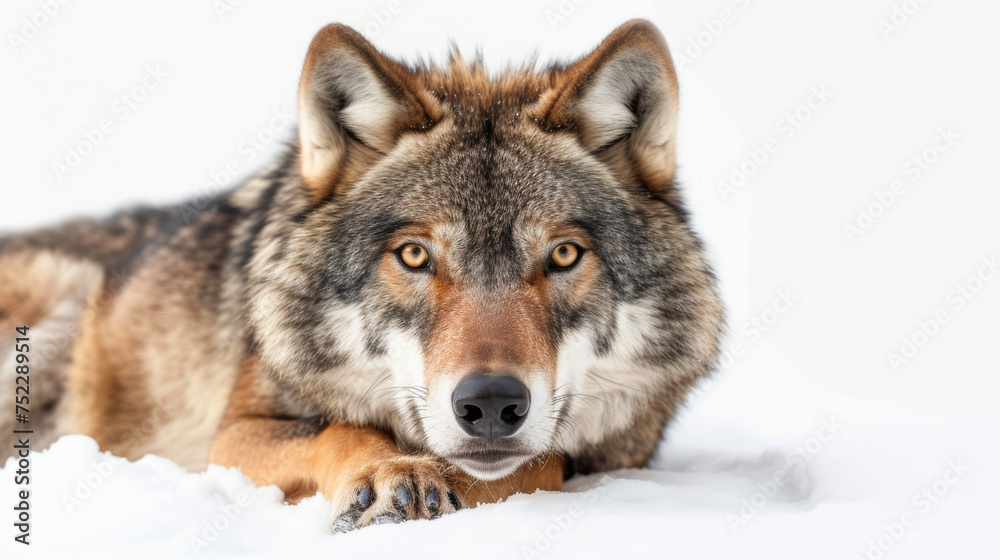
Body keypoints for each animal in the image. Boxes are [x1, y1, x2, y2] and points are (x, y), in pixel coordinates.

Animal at [0, 19, 723, 530]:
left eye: (565, 255)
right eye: (414, 256)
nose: (491, 404)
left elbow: (538, 462)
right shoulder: (235, 433)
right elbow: (345, 429)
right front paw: (388, 471)